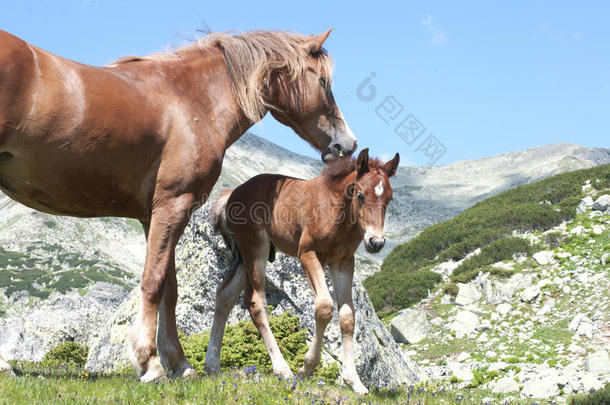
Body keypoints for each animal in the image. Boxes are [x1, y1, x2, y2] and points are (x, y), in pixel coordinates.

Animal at [0, 30, 356, 380]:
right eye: (323, 81)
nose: (347, 144)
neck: (190, 101)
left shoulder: (155, 215)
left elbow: (169, 287)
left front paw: (178, 362)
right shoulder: (174, 205)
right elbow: (154, 280)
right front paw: (149, 362)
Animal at [208, 148, 400, 392]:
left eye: (389, 198)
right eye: (360, 195)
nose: (376, 242)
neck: (336, 210)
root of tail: (232, 194)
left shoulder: (343, 262)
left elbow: (347, 316)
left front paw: (354, 381)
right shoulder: (307, 253)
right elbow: (325, 307)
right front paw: (306, 368)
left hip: (243, 257)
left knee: (225, 296)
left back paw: (212, 365)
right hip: (255, 250)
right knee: (256, 302)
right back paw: (283, 370)